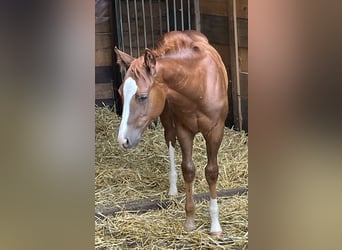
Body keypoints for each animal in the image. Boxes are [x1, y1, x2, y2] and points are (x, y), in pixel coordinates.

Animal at [115, 30, 230, 235]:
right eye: (120, 93)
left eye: (142, 97)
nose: (123, 140)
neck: (197, 85)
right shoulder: (184, 130)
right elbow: (188, 170)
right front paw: (190, 220)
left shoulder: (215, 132)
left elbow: (211, 172)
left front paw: (215, 226)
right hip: (168, 121)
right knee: (170, 142)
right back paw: (173, 189)